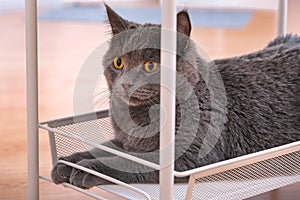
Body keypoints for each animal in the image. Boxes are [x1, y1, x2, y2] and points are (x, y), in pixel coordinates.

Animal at [51, 4, 300, 189]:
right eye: (118, 62)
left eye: (150, 65)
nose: (126, 84)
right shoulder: (126, 141)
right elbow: (102, 147)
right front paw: (68, 162)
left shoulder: (186, 157)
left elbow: (126, 162)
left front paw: (86, 169)